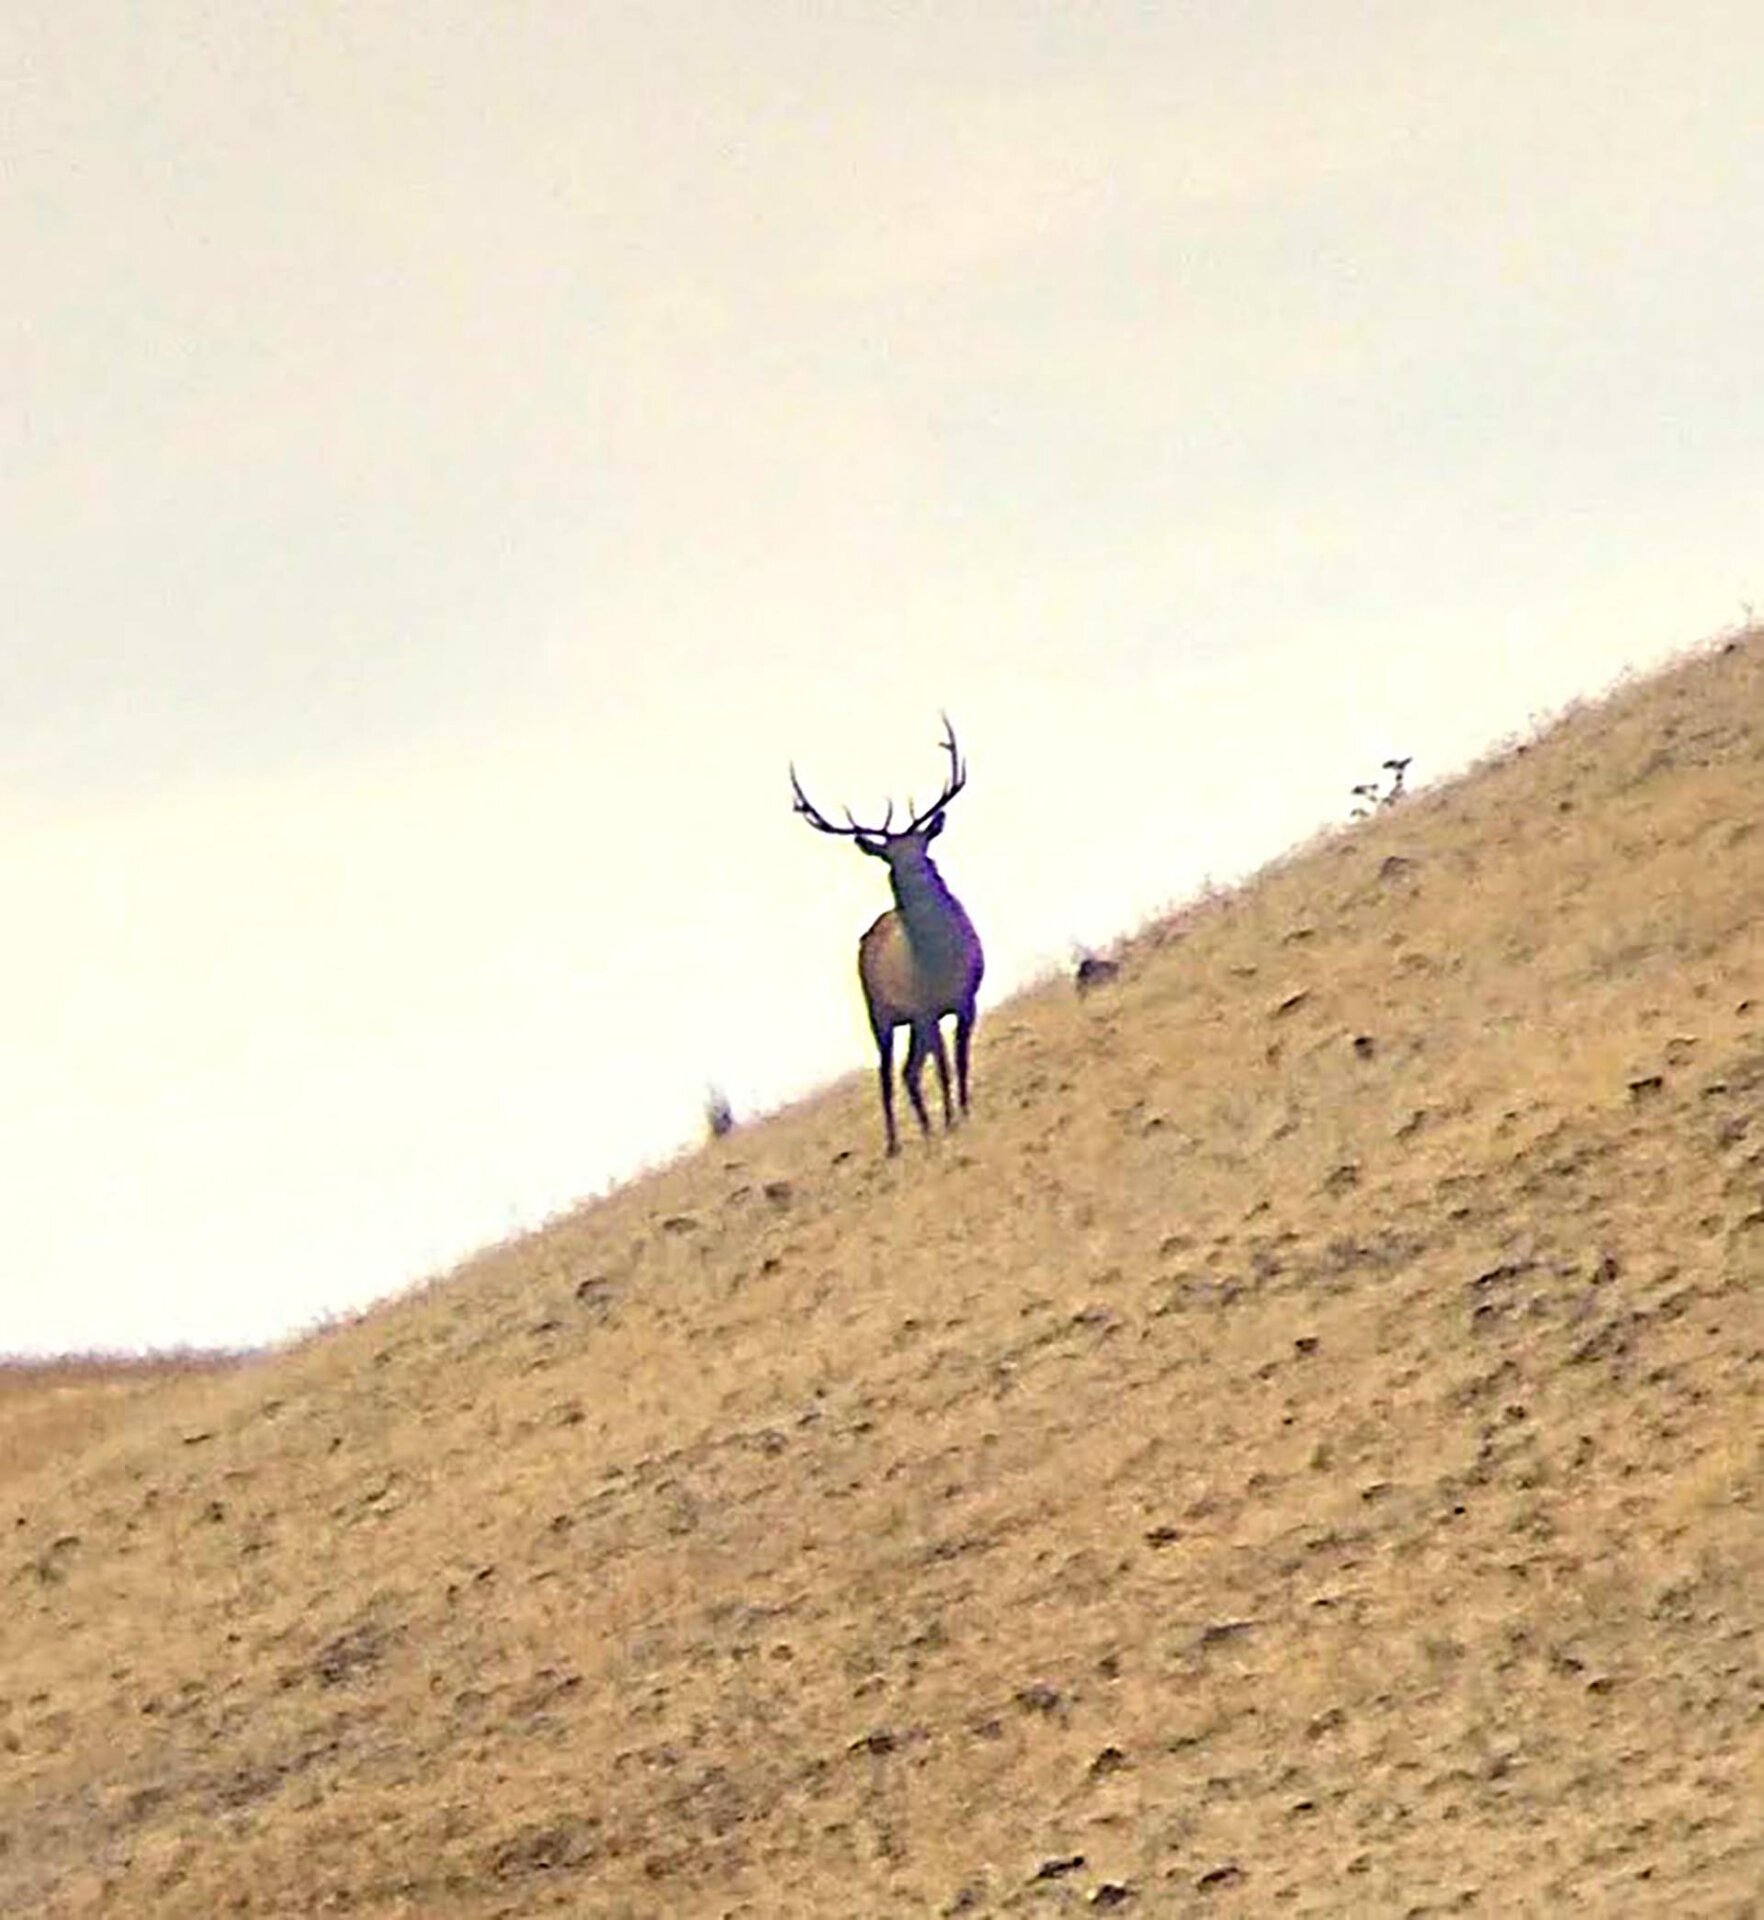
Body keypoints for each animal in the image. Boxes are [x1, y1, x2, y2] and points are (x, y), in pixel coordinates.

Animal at [790, 717, 985, 1155]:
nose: (917, 875)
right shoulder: (925, 1008)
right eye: (890, 860)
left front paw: (964, 1112)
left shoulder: (966, 997)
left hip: (909, 1020)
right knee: (887, 1076)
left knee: (908, 1072)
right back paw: (896, 1143)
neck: (939, 963)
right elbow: (943, 1066)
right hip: (879, 1013)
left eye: (924, 847)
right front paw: (953, 1121)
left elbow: (961, 1060)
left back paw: (926, 1127)